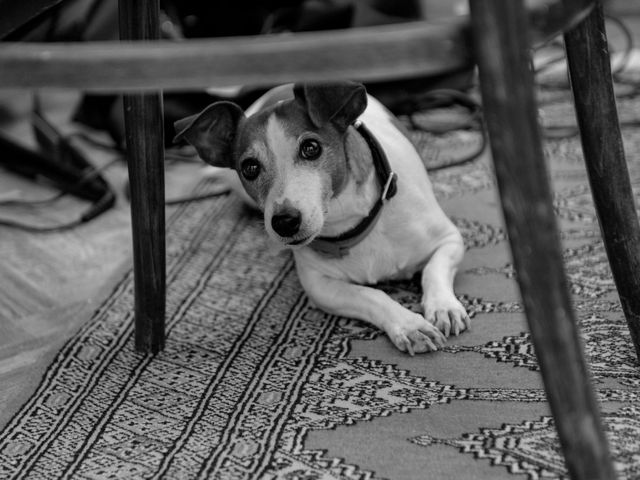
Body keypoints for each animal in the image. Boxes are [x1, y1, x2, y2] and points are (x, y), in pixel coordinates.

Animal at [175, 81, 470, 352]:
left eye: (311, 148)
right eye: (250, 167)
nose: (284, 222)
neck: (356, 223)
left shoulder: (449, 240)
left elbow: (433, 270)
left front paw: (443, 306)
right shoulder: (320, 286)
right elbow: (371, 295)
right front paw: (410, 325)